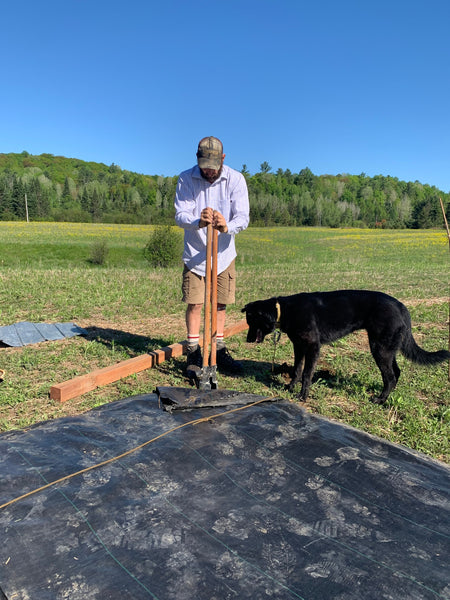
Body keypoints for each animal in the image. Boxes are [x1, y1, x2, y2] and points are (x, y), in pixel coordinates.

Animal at [243, 290, 450, 404]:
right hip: (387, 349)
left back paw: (379, 400)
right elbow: (296, 370)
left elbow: (307, 374)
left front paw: (303, 395)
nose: (247, 340)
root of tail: (401, 306)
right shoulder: (299, 347)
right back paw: (387, 397)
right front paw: (290, 387)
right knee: (396, 373)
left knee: (390, 376)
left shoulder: (312, 347)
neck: (284, 309)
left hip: (379, 349)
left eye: (251, 322)